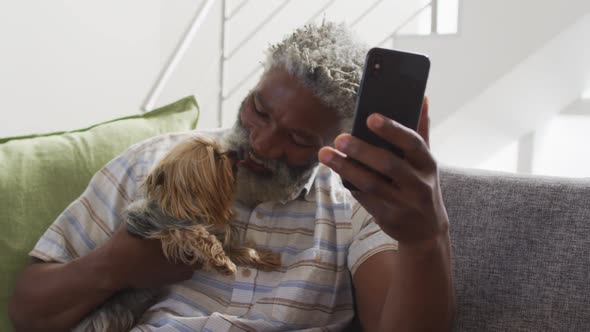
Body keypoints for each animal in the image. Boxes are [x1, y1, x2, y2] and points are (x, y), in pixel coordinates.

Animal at [75, 136, 284, 332]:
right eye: (217, 156)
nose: (235, 152)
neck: (191, 206)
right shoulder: (170, 231)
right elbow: (198, 234)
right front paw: (222, 262)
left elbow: (238, 249)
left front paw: (264, 257)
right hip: (106, 316)